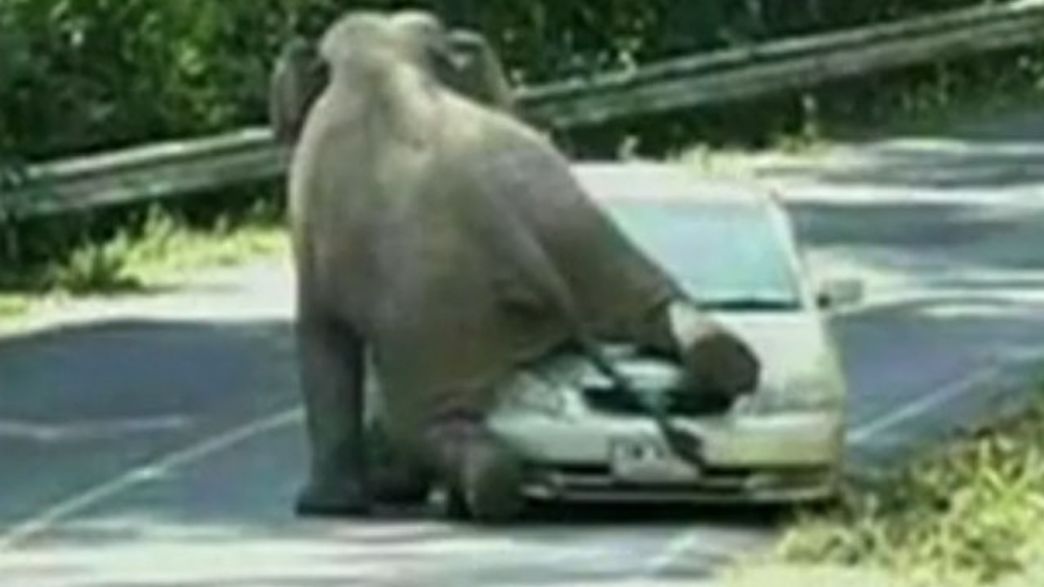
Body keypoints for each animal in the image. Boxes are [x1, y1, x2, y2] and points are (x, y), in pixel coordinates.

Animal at [285, 10, 760, 522]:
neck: (384, 57)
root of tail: (507, 228)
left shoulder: (311, 225)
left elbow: (321, 337)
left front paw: (322, 507)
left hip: (436, 314)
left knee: (424, 422)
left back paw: (478, 495)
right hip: (580, 232)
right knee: (658, 303)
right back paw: (729, 361)